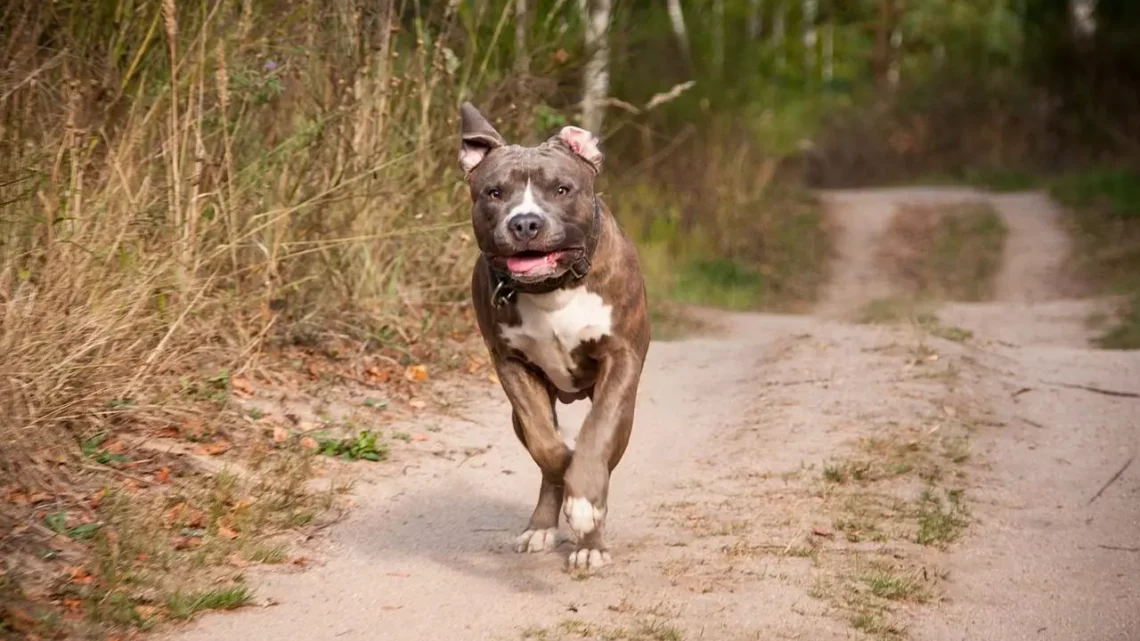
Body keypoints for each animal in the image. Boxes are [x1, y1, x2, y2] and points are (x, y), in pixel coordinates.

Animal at [456, 102, 652, 565]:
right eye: (494, 193)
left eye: (562, 189)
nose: (525, 222)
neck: (552, 289)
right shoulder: (511, 364)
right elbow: (547, 446)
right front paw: (566, 474)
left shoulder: (620, 359)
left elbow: (596, 436)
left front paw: (586, 506)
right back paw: (543, 526)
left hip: (627, 411)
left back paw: (591, 542)